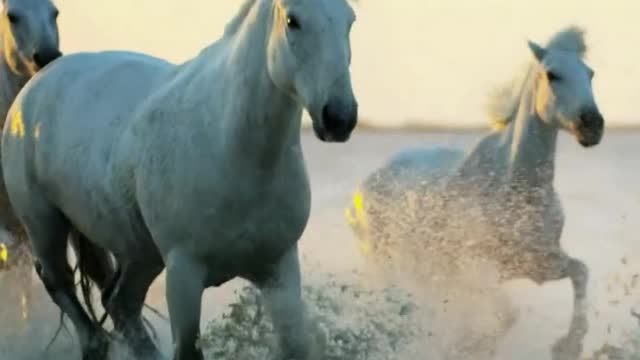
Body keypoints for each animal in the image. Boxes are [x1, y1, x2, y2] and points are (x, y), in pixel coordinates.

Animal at [1, 0, 360, 360]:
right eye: (292, 21)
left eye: (350, 21)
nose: (339, 117)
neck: (232, 147)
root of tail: (37, 82)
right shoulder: (183, 275)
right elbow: (187, 349)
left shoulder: (279, 270)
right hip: (45, 225)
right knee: (61, 285)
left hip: (140, 253)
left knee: (120, 304)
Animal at [348, 26, 604, 360]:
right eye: (553, 74)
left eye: (590, 73)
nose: (593, 125)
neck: (513, 189)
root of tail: (365, 185)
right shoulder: (477, 270)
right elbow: (507, 316)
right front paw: (469, 346)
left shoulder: (540, 263)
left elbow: (581, 272)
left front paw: (569, 346)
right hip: (386, 263)